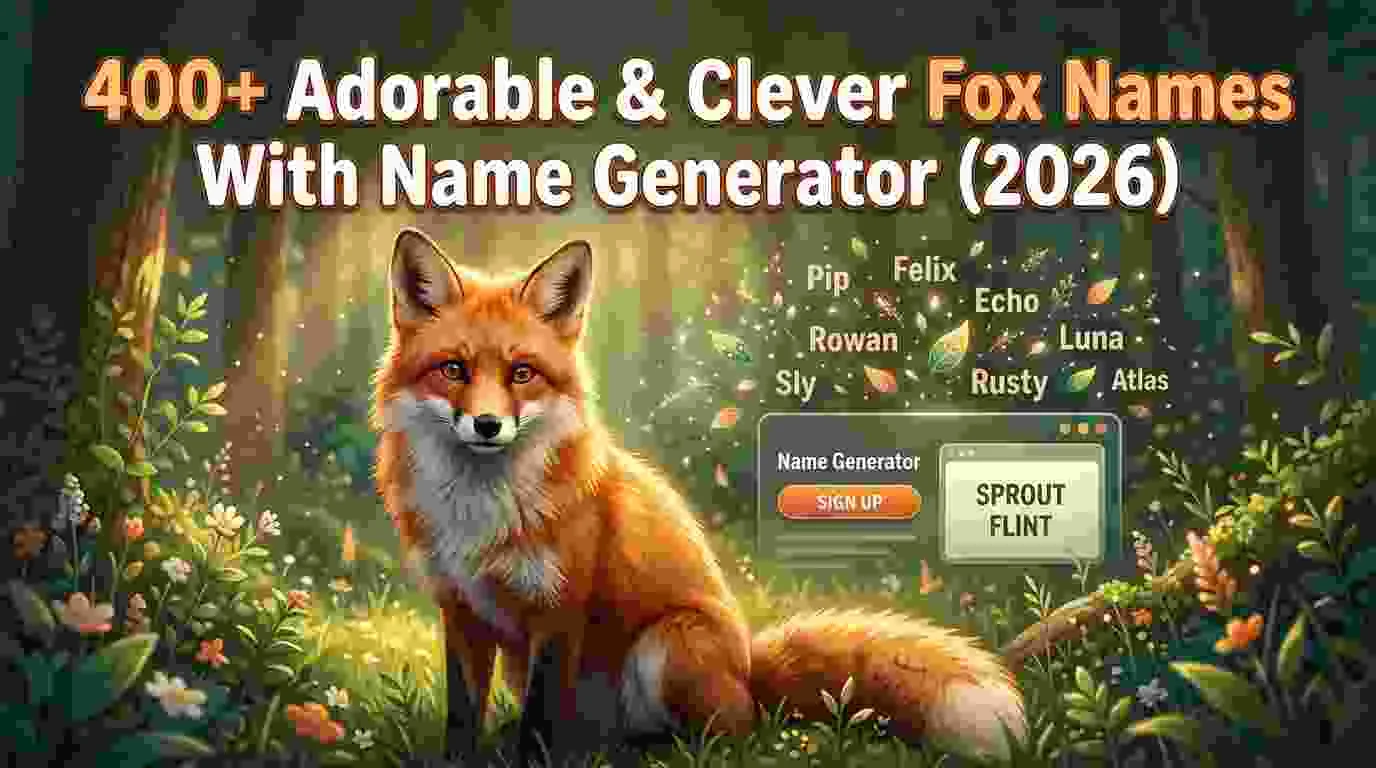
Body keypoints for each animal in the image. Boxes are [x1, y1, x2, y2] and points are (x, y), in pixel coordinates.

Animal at [371, 227, 1028, 766]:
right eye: (454, 370)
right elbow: (463, 718)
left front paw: (530, 759)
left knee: (726, 739)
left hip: (670, 643)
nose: (486, 425)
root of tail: (749, 673)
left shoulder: (558, 610)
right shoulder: (461, 608)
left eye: (522, 373)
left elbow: (540, 721)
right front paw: (458, 762)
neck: (480, 513)